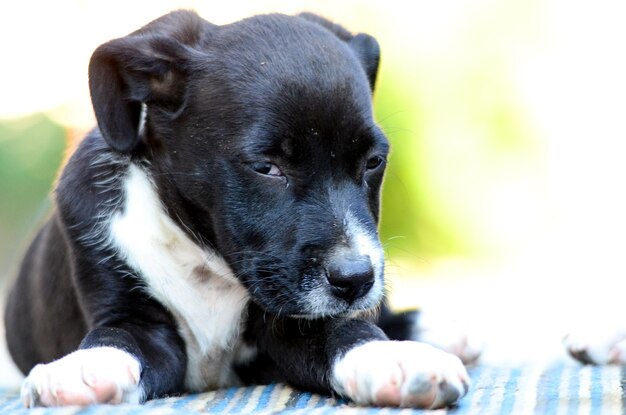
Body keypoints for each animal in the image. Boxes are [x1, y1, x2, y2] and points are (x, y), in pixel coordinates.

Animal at [4, 9, 470, 410]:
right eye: (266, 167)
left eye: (374, 162)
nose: (356, 279)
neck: (205, 263)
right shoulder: (131, 315)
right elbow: (118, 336)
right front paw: (87, 367)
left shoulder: (291, 321)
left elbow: (346, 327)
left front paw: (393, 359)